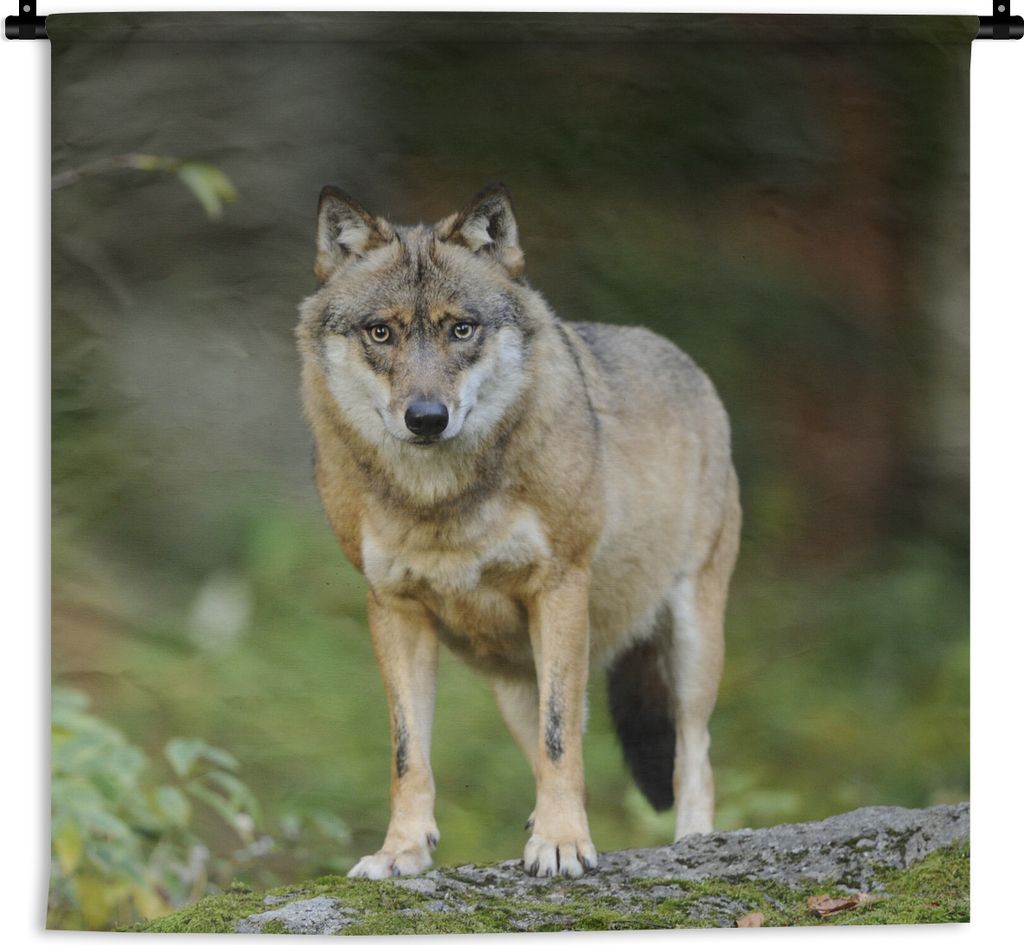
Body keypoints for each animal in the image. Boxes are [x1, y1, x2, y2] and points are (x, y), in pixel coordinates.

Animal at [296, 183, 741, 880]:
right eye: (381, 332)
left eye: (461, 328)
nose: (427, 418)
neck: (441, 504)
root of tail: (685, 360)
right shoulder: (393, 609)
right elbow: (408, 753)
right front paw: (401, 851)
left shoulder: (559, 587)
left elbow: (562, 743)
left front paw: (561, 844)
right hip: (512, 682)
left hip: (691, 642)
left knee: (692, 752)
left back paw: (691, 842)